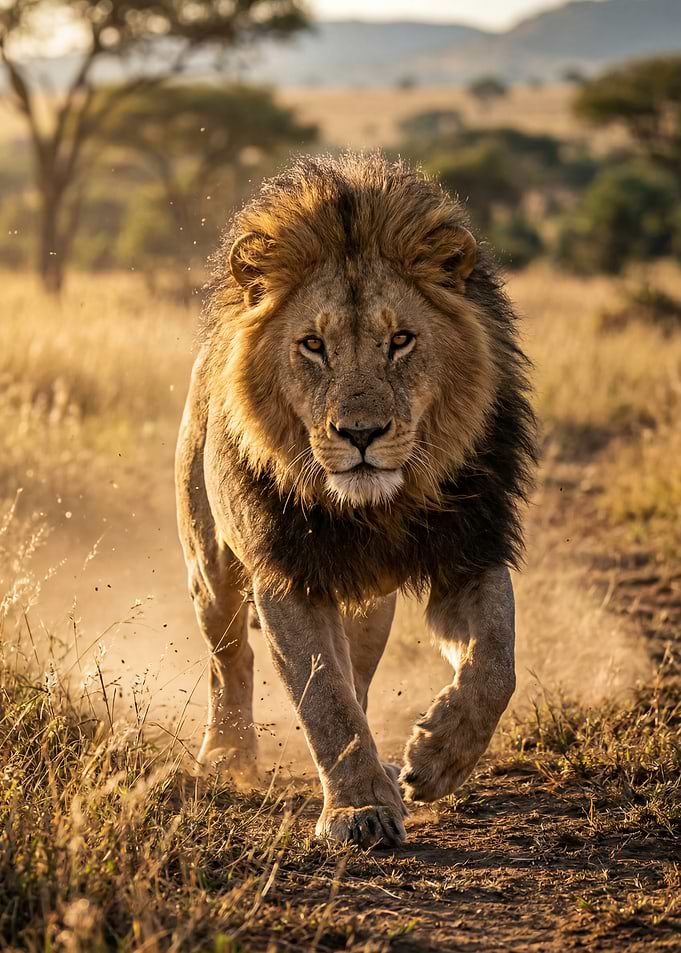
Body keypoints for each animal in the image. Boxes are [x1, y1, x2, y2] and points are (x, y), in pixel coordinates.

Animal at [175, 152, 536, 847]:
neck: (376, 508)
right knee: (229, 657)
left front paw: (434, 760)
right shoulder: (286, 574)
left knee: (361, 672)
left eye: (401, 341)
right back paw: (228, 757)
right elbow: (325, 700)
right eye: (313, 346)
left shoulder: (467, 551)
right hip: (210, 566)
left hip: (371, 604)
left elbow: (496, 663)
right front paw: (358, 811)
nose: (361, 434)